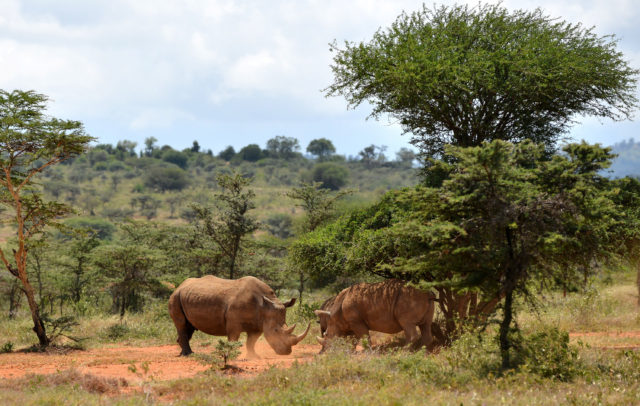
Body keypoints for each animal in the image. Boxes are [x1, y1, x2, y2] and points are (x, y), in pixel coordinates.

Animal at [169, 274, 312, 356]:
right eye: (276, 330)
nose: (287, 352)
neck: (265, 306)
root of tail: (180, 285)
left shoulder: (258, 323)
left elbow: (251, 341)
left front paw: (254, 356)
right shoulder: (233, 323)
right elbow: (233, 338)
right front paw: (231, 354)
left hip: (186, 296)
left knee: (189, 327)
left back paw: (184, 352)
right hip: (175, 297)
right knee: (182, 325)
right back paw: (188, 354)